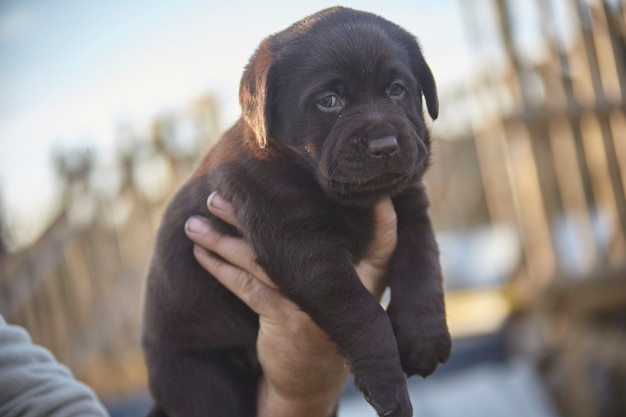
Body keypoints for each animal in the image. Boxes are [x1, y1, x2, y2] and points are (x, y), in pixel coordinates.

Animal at [143, 6, 448, 416]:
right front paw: (387, 384)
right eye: (329, 101)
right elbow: (363, 313)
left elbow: (423, 266)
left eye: (397, 90)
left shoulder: (412, 209)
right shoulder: (300, 244)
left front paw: (425, 340)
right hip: (201, 380)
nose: (385, 145)